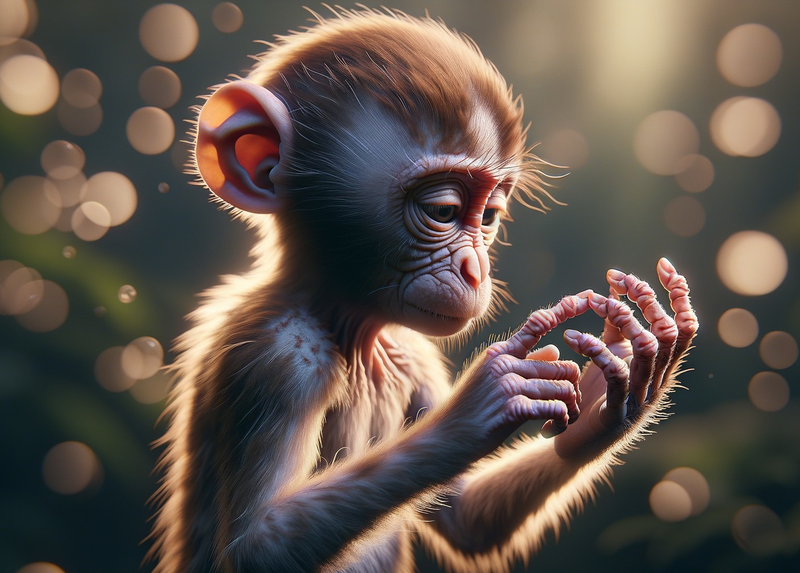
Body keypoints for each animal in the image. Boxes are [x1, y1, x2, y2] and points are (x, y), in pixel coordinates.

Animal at [147, 8, 698, 573]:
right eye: (443, 211)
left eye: (489, 217)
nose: (475, 268)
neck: (349, 330)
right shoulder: (278, 359)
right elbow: (251, 548)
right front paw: (485, 402)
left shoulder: (412, 351)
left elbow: (467, 519)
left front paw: (615, 394)